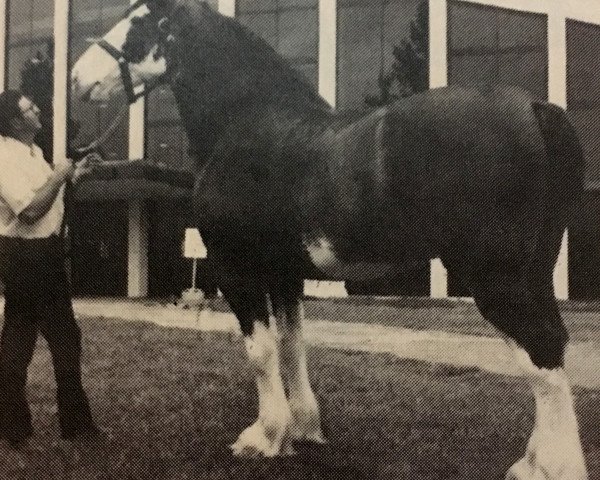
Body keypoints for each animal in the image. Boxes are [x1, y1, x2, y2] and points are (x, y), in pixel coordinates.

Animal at [72, 1, 588, 478]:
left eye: (137, 22)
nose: (77, 78)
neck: (247, 125)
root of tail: (533, 109)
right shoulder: (284, 274)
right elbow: (292, 345)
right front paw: (301, 430)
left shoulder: (236, 268)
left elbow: (260, 351)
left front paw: (263, 437)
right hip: (535, 271)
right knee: (551, 345)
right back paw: (532, 463)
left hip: (496, 277)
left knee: (541, 352)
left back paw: (551, 467)